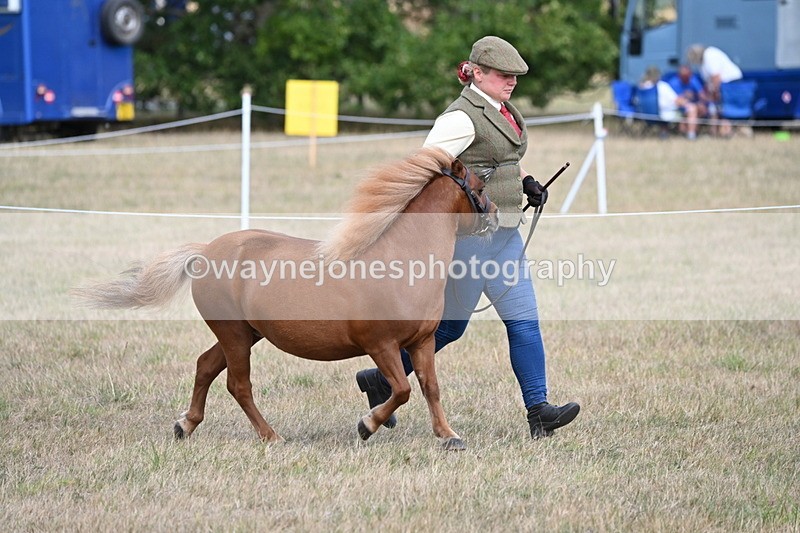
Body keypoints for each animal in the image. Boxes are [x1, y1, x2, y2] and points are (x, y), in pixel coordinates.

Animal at [73, 147, 497, 451]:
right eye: (478, 188)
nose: (495, 215)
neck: (399, 262)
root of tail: (206, 252)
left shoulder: (422, 342)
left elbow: (430, 388)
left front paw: (449, 436)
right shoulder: (381, 345)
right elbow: (403, 390)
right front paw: (367, 425)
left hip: (244, 333)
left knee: (205, 367)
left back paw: (185, 425)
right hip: (234, 335)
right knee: (238, 385)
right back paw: (271, 436)